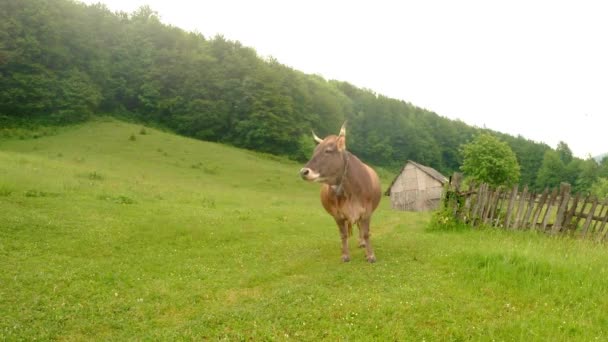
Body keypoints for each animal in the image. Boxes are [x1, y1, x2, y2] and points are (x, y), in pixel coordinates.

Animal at [300, 124, 380, 264]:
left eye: (328, 151)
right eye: (314, 151)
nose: (303, 172)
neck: (351, 192)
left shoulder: (366, 211)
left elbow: (366, 233)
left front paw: (370, 255)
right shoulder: (337, 214)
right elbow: (343, 234)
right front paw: (345, 255)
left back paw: (362, 243)